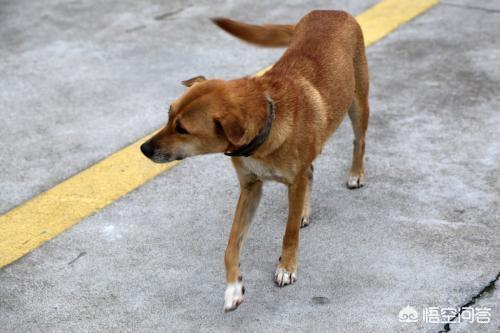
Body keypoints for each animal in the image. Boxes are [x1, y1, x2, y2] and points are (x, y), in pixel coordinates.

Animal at [139, 10, 370, 312]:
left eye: (182, 129)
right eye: (169, 114)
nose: (144, 148)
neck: (268, 122)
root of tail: (329, 12)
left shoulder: (292, 183)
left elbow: (288, 233)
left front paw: (287, 267)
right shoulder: (250, 188)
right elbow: (231, 245)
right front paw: (233, 287)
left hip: (358, 103)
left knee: (358, 141)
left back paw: (356, 173)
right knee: (310, 171)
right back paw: (304, 211)